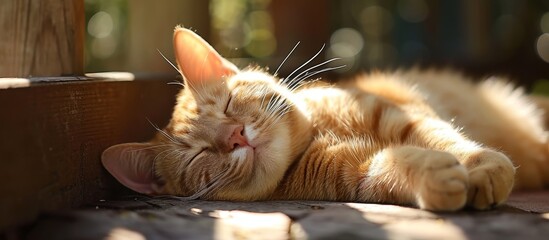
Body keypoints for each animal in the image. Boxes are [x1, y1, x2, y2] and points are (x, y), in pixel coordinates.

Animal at [99, 25, 548, 210]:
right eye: (199, 154)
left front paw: (482, 166)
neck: (319, 132)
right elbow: (395, 164)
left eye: (227, 104)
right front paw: (437, 178)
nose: (236, 136)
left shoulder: (403, 115)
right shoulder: (359, 173)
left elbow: (448, 139)